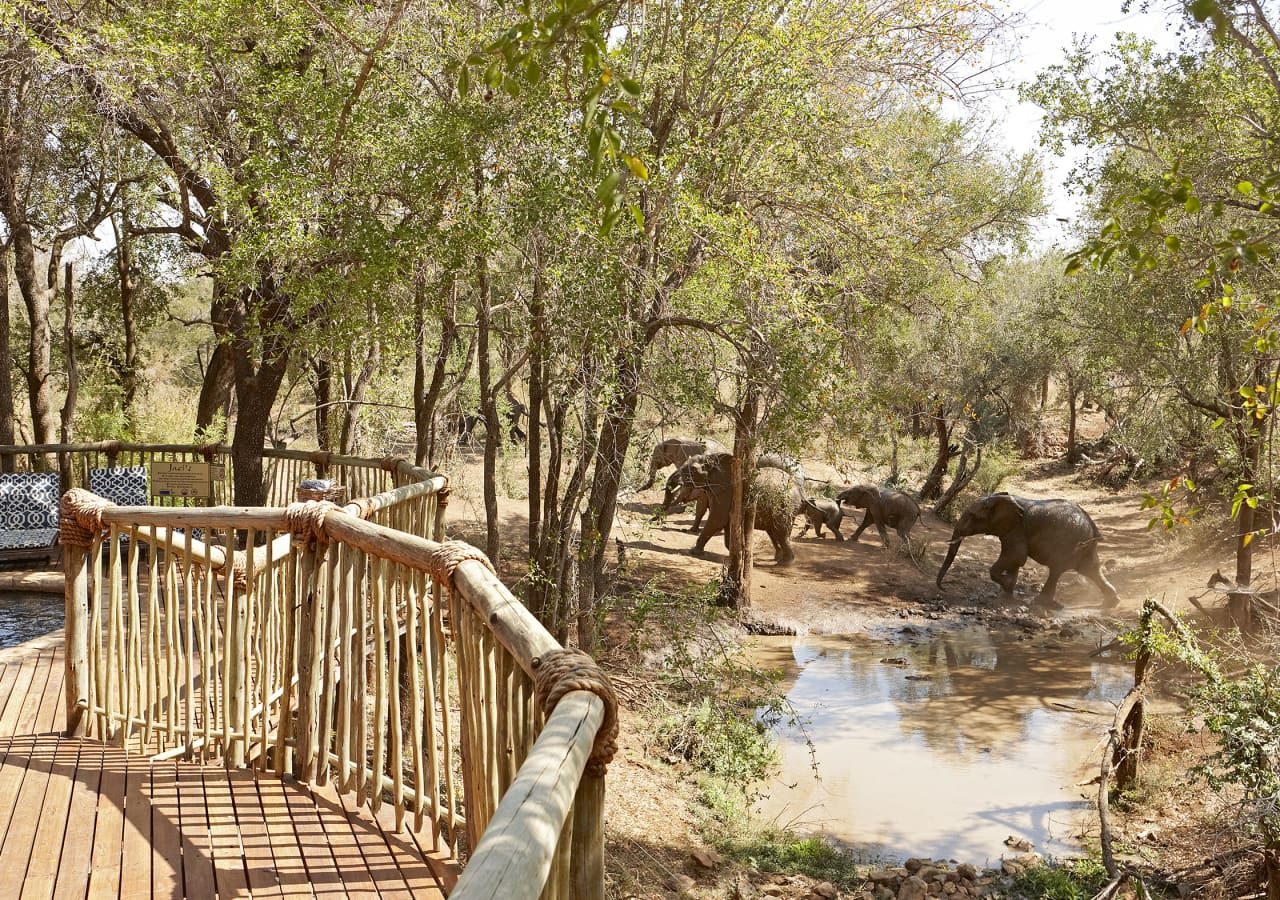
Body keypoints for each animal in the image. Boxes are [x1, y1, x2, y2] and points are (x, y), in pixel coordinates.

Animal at [670, 453, 798, 565]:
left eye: (693, 469)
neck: (711, 458)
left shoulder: (727, 490)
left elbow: (718, 519)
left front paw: (693, 552)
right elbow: (727, 524)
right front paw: (739, 552)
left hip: (782, 507)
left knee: (780, 532)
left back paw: (785, 562)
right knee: (775, 532)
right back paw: (780, 558)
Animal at [931, 491, 1121, 611]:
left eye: (972, 516)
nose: (944, 588)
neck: (997, 498)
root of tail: (1093, 528)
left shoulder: (1016, 529)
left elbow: (1015, 556)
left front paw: (1007, 586)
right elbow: (1014, 560)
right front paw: (1007, 594)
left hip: (1068, 543)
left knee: (1057, 570)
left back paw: (1040, 602)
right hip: (1082, 547)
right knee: (1090, 569)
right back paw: (1111, 602)